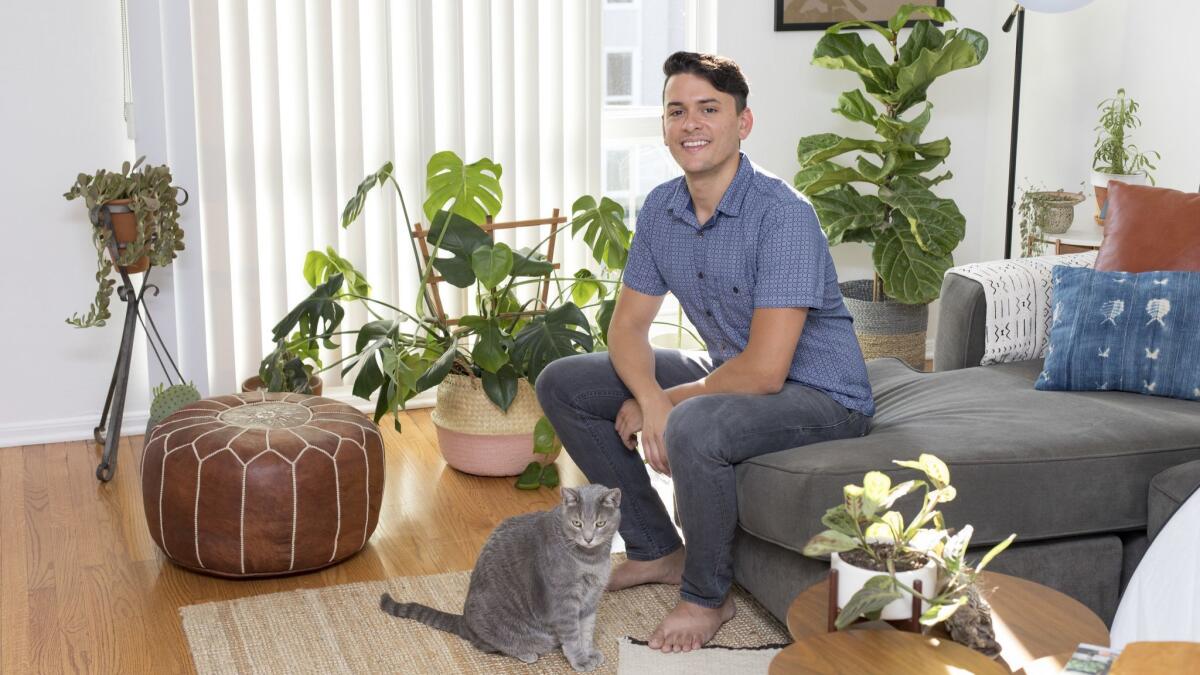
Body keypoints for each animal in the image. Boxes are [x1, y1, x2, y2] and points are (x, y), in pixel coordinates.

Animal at [381, 482, 628, 667]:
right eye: (577, 523)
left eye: (600, 523)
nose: (588, 538)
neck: (592, 561)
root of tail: (464, 621)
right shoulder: (564, 602)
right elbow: (573, 634)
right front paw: (580, 660)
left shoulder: (591, 599)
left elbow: (586, 630)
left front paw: (589, 653)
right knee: (489, 645)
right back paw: (526, 653)